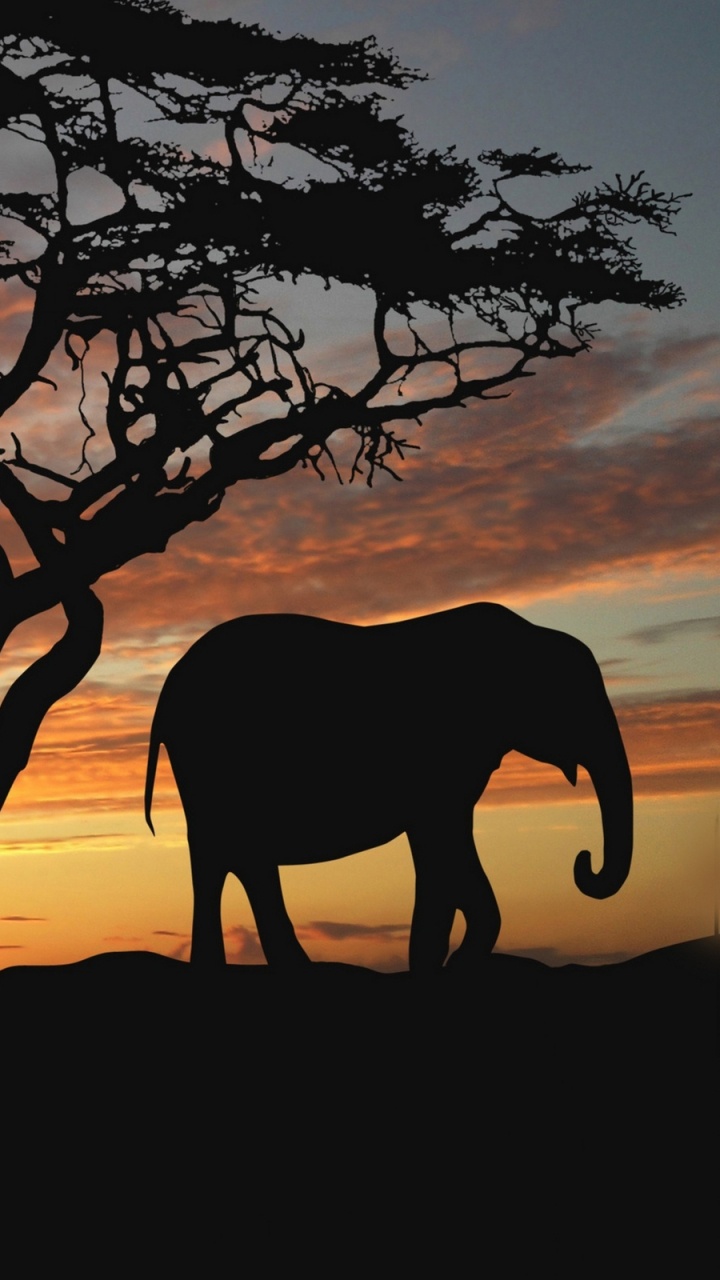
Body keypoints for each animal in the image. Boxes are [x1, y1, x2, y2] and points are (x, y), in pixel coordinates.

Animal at [144, 603, 633, 972]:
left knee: (237, 858)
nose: (583, 862)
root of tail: (168, 689)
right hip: (212, 763)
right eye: (576, 701)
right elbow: (442, 844)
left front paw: (445, 961)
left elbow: (445, 850)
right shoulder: (442, 759)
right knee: (224, 855)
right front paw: (443, 963)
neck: (526, 635)